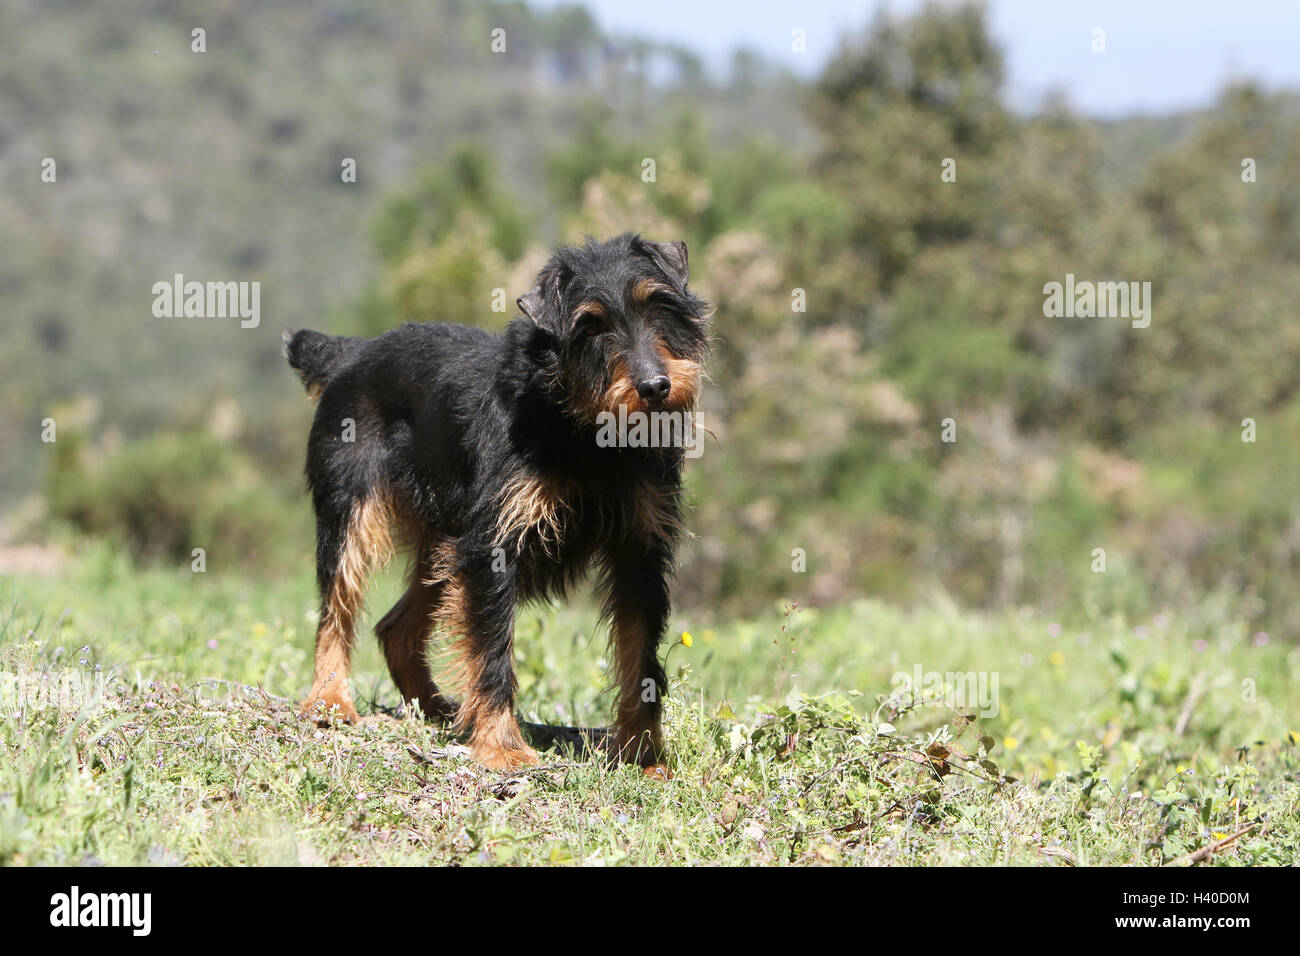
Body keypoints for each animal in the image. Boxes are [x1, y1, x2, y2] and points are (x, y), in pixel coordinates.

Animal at [286, 235, 712, 775]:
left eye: (658, 305)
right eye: (591, 326)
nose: (655, 387)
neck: (584, 430)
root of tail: (351, 353)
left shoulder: (640, 550)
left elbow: (642, 658)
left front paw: (644, 753)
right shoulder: (493, 545)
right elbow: (492, 647)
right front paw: (500, 746)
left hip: (443, 545)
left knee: (395, 627)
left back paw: (438, 708)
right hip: (352, 516)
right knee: (335, 611)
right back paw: (330, 700)